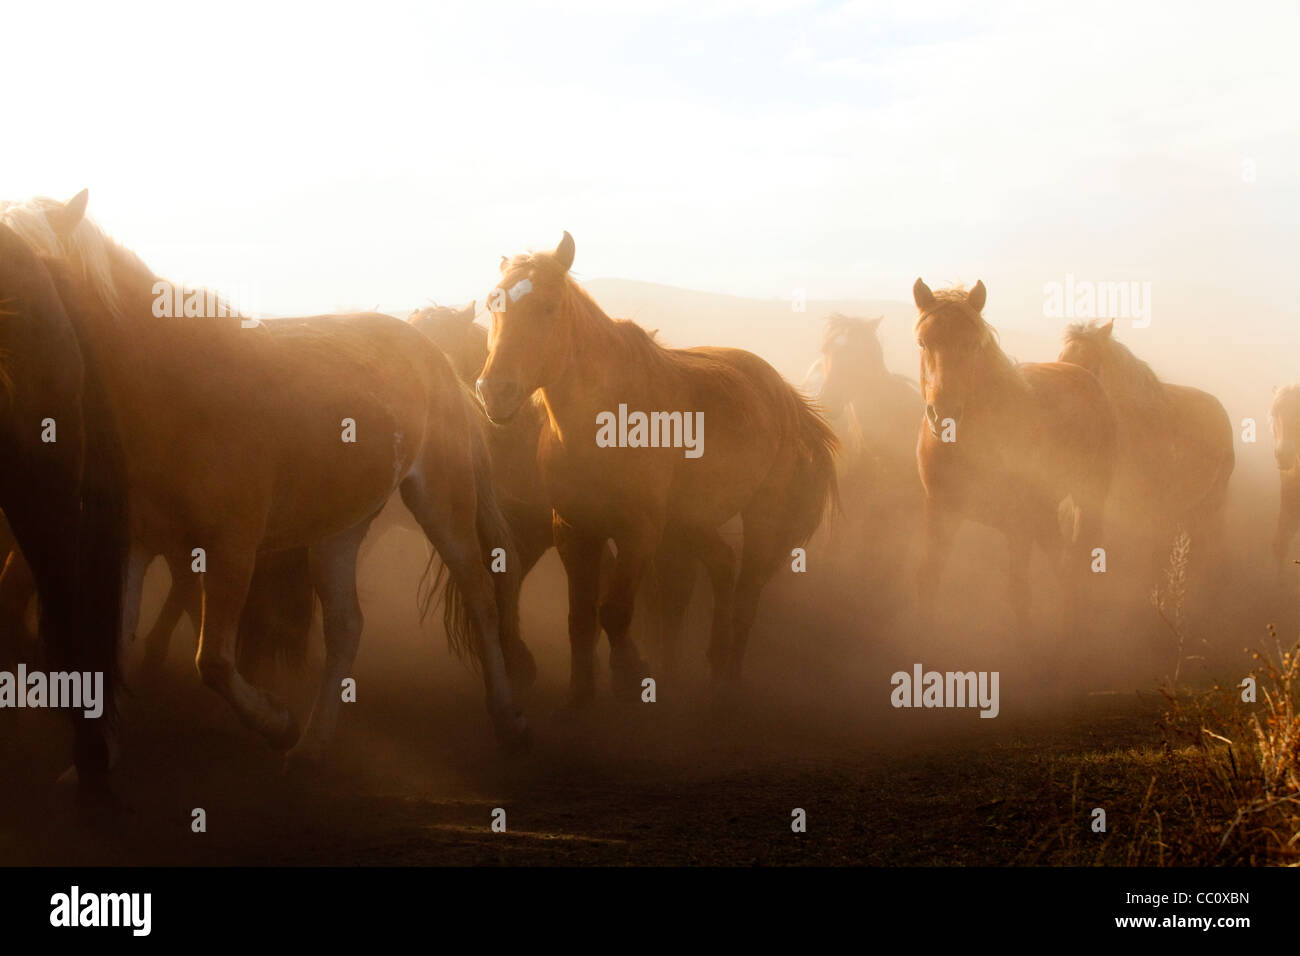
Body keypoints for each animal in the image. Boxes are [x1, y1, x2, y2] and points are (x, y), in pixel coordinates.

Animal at [1, 191, 531, 775]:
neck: (172, 384)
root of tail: (434, 356)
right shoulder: (133, 545)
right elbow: (113, 650)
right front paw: (94, 763)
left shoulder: (232, 548)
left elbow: (213, 660)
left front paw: (276, 722)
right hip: (339, 527)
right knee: (346, 625)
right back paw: (313, 747)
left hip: (441, 500)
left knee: (480, 598)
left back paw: (507, 722)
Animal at [477, 232, 838, 700]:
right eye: (492, 303)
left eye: (549, 307)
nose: (495, 392)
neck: (604, 424)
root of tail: (781, 390)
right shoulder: (573, 530)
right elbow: (581, 620)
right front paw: (582, 694)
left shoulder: (639, 533)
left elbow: (613, 612)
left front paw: (631, 671)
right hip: (691, 520)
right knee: (722, 566)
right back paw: (708, 663)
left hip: (761, 513)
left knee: (748, 589)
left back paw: (729, 677)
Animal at [913, 278, 1116, 639]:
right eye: (923, 342)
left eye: (973, 344)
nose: (944, 416)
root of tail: (1082, 372)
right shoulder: (940, 511)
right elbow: (928, 580)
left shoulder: (1019, 525)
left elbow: (1019, 594)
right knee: (1064, 565)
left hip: (1085, 502)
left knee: (1076, 565)